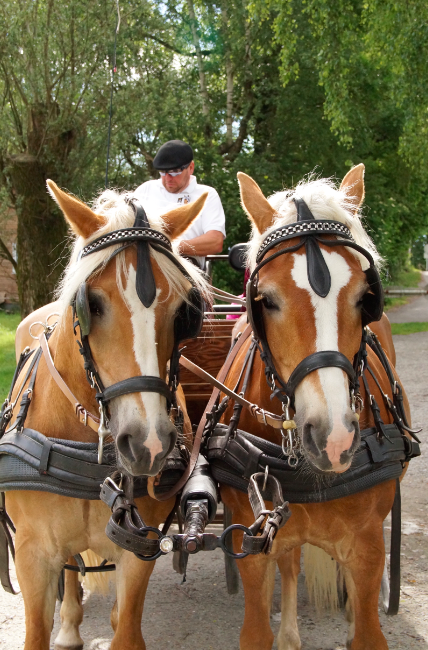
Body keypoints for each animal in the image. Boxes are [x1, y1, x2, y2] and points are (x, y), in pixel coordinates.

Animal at [3, 181, 210, 650]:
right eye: (91, 304)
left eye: (184, 312)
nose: (148, 444)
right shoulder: (32, 554)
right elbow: (37, 629)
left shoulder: (138, 549)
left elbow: (127, 630)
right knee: (71, 571)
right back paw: (69, 626)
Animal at [217, 165, 413, 650]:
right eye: (265, 300)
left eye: (366, 297)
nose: (334, 438)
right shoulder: (254, 543)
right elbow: (258, 625)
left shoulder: (367, 548)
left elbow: (367, 629)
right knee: (290, 562)